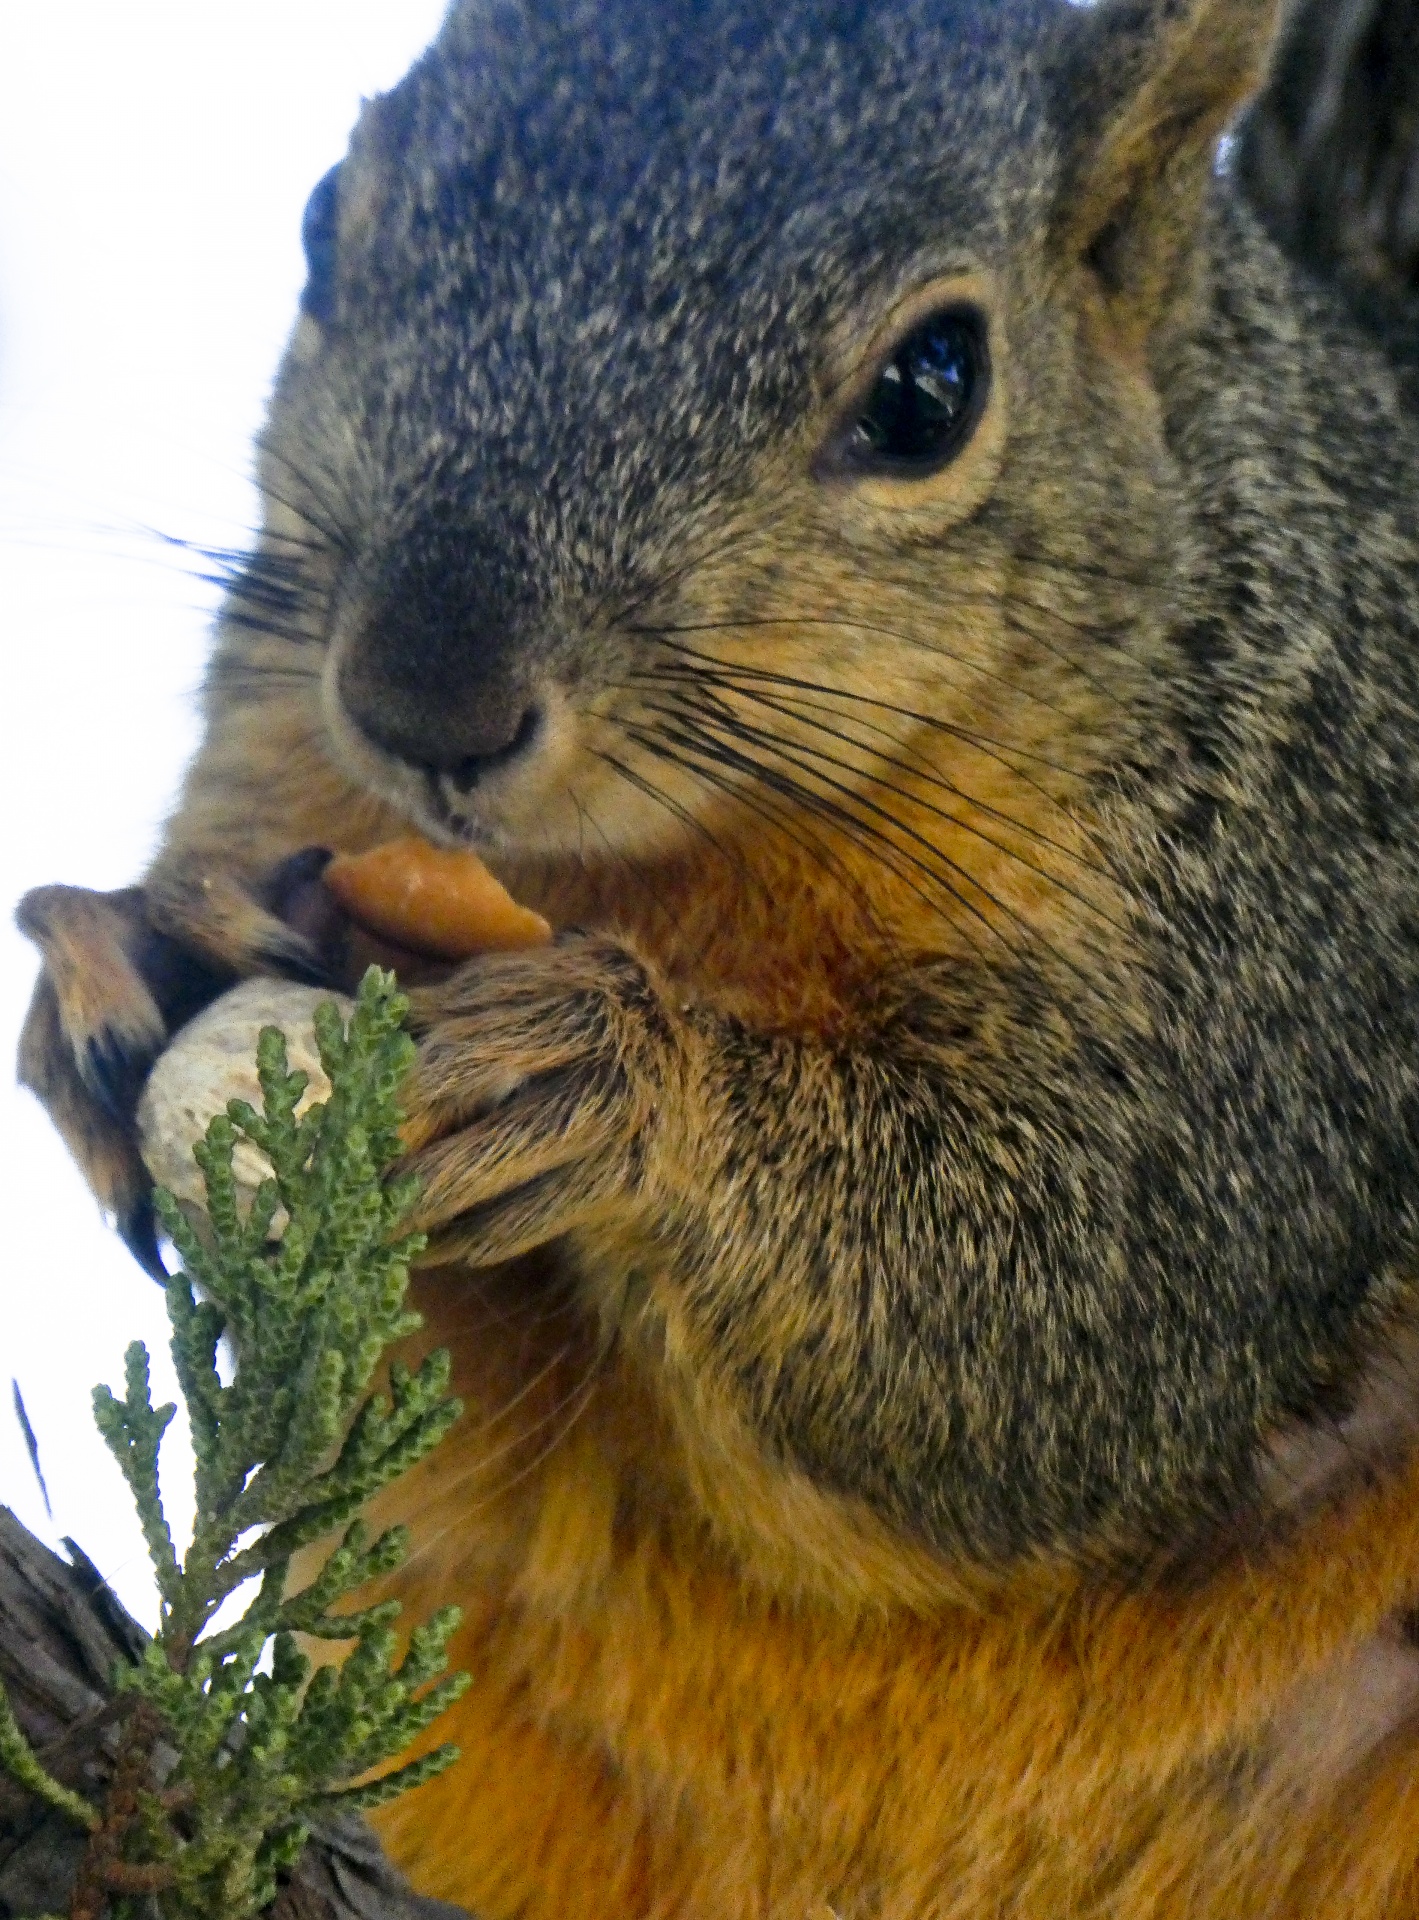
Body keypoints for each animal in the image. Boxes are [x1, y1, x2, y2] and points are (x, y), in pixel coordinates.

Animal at [13, 0, 1419, 1912]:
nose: (421, 703)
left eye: (928, 390)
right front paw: (126, 943)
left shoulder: (1279, 945)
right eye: (318, 228)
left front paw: (617, 1082)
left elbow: (1086, 1313)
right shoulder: (279, 728)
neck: (663, 864)